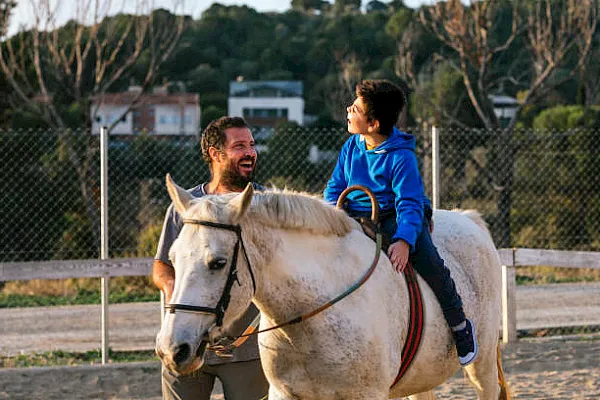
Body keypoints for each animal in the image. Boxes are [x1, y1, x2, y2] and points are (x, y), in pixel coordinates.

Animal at [156, 176, 510, 400]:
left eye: (217, 263)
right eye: (172, 258)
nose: (172, 349)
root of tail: (471, 219)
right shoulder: (285, 394)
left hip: (481, 368)